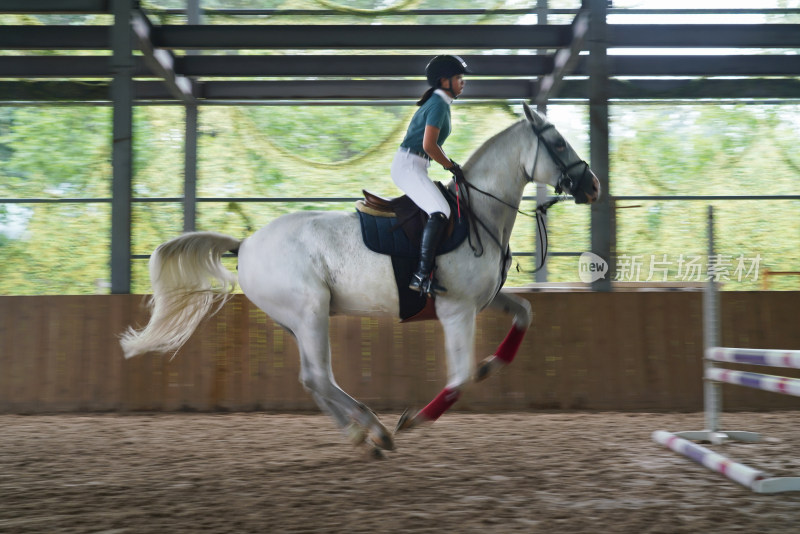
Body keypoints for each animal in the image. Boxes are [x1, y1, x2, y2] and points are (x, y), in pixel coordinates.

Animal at [122, 103, 596, 456]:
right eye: (557, 141)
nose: (591, 185)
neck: (477, 214)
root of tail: (247, 244)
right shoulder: (456, 310)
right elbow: (460, 379)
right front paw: (413, 420)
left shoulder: (480, 299)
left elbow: (524, 313)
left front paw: (492, 363)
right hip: (311, 312)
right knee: (319, 377)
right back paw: (376, 430)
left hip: (299, 322)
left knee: (312, 378)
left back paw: (360, 434)